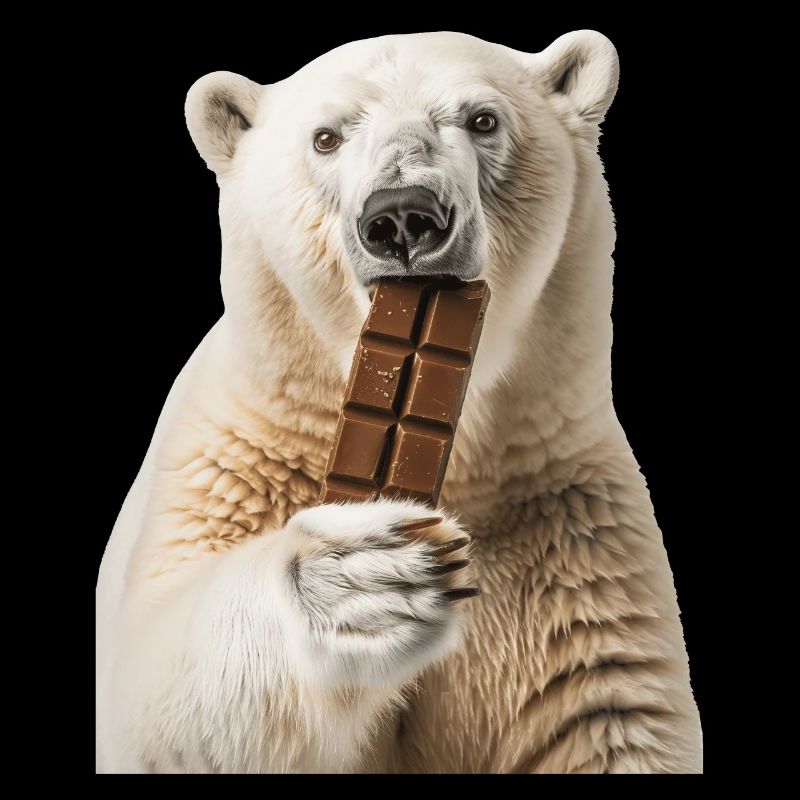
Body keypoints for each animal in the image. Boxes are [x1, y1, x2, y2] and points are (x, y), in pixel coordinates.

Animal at [95, 30, 703, 773]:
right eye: (326, 137)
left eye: (482, 119)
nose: (404, 216)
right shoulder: (234, 463)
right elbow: (167, 708)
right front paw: (365, 577)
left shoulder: (566, 532)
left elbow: (609, 712)